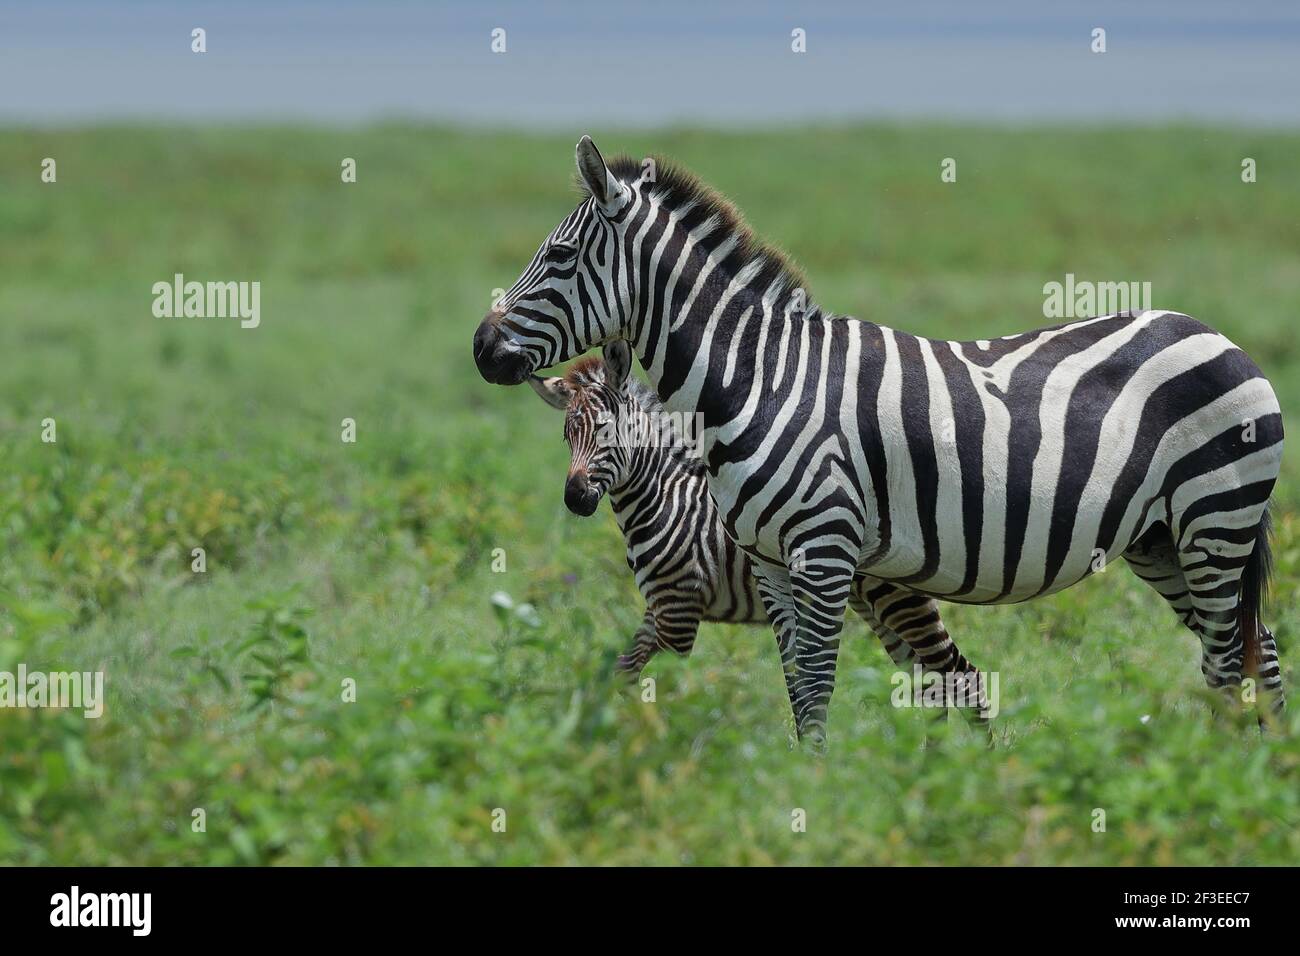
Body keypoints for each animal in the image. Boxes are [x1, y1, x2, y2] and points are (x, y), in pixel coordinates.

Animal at [473, 136, 1284, 749]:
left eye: (560, 256)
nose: (481, 349)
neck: (758, 381)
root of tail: (1218, 334)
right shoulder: (770, 563)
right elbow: (797, 686)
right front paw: (804, 783)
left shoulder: (825, 551)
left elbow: (818, 685)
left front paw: (816, 795)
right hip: (1162, 540)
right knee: (1253, 651)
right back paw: (1257, 771)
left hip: (1215, 520)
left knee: (1229, 657)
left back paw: (1222, 775)